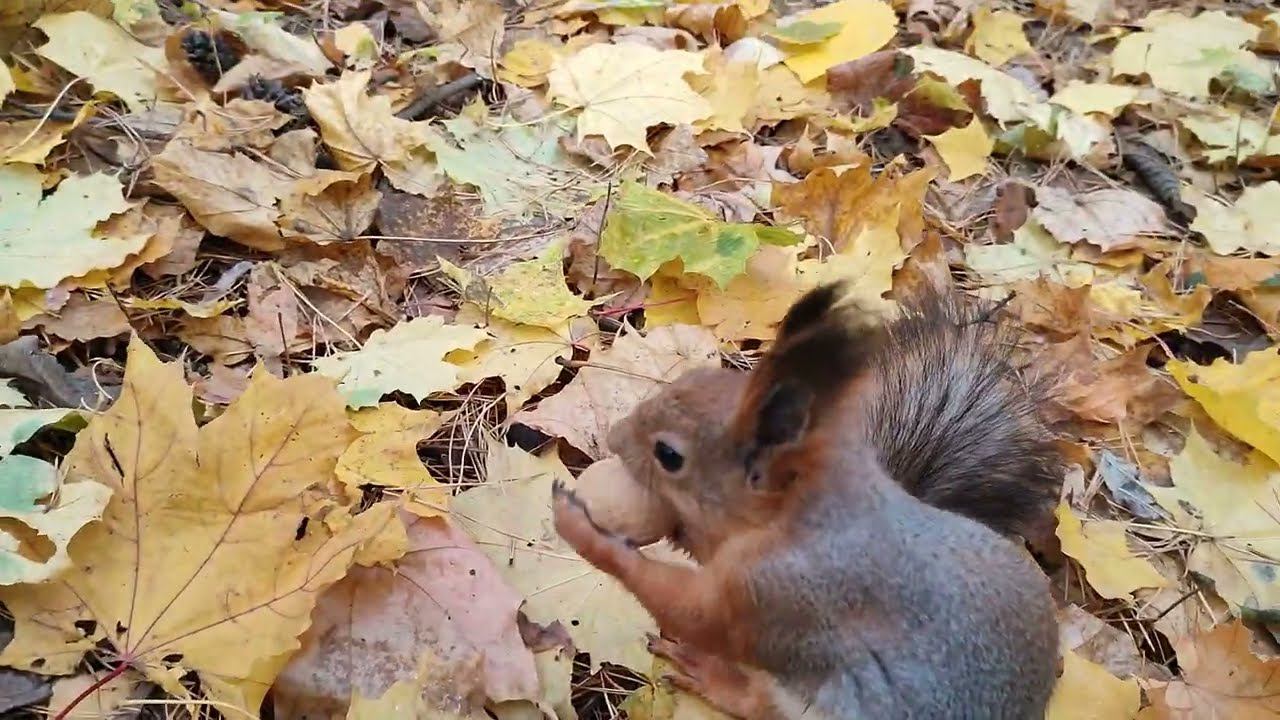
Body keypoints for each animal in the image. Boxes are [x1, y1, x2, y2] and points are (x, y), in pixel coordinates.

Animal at [551, 282, 1061, 718]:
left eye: (669, 455)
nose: (615, 437)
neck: (804, 510)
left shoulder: (778, 591)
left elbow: (699, 615)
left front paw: (582, 531)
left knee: (754, 703)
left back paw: (710, 675)